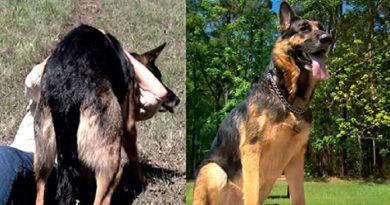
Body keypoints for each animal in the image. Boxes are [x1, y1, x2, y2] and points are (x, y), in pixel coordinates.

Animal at [33, 24, 180, 205]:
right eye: (158, 77)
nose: (177, 99)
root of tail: (67, 91)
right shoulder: (129, 127)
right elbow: (134, 156)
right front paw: (143, 182)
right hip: (111, 166)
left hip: (43, 162)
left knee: (41, 190)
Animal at [192, 2, 332, 205]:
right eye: (304, 28)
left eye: (321, 28)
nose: (328, 38)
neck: (288, 99)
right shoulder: (252, 150)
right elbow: (251, 193)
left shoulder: (296, 159)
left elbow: (299, 197)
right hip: (212, 170)